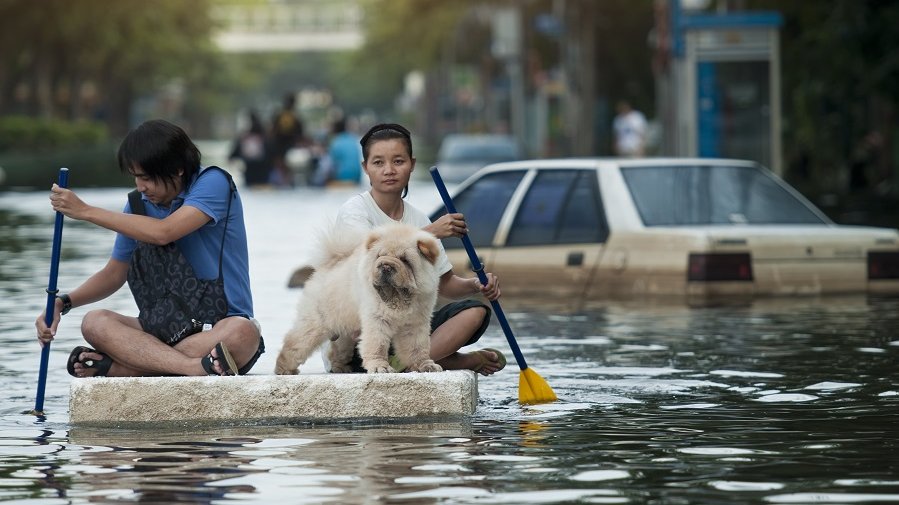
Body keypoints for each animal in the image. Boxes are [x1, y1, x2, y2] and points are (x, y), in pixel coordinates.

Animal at [274, 222, 442, 372]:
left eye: (404, 260)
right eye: (380, 256)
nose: (386, 266)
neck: (398, 298)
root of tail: (329, 264)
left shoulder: (415, 323)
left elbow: (417, 347)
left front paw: (426, 365)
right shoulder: (377, 319)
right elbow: (377, 344)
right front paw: (380, 367)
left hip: (344, 328)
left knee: (337, 349)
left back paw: (340, 368)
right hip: (314, 324)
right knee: (294, 343)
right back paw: (284, 370)